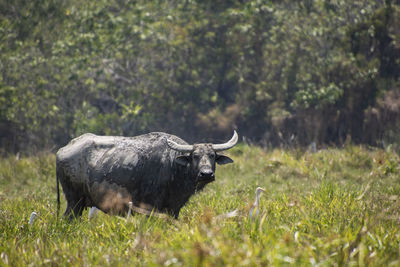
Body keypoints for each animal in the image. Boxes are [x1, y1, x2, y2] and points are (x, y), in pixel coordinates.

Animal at [56, 131, 238, 220]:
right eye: (195, 156)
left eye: (212, 156)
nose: (206, 174)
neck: (173, 166)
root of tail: (62, 150)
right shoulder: (150, 207)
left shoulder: (174, 208)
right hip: (74, 201)